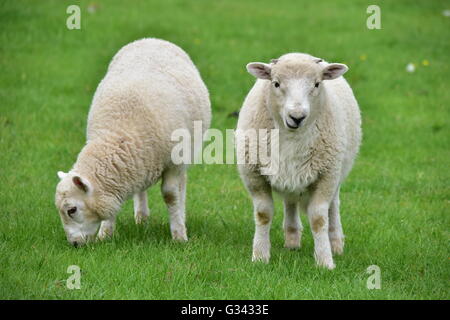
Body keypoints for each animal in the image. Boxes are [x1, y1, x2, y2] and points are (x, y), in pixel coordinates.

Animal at [54, 38, 211, 248]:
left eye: (72, 210)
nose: (74, 244)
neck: (117, 132)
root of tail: (151, 39)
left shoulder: (173, 162)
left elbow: (171, 195)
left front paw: (179, 235)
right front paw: (106, 234)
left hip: (185, 151)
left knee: (181, 184)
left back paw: (180, 215)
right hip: (143, 159)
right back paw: (141, 218)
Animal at [236, 52, 362, 268]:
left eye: (317, 84)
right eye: (276, 83)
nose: (297, 116)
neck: (291, 136)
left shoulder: (327, 175)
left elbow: (319, 219)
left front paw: (325, 261)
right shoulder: (253, 174)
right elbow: (263, 214)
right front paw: (260, 256)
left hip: (338, 172)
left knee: (333, 207)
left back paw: (336, 243)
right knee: (291, 201)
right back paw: (292, 240)